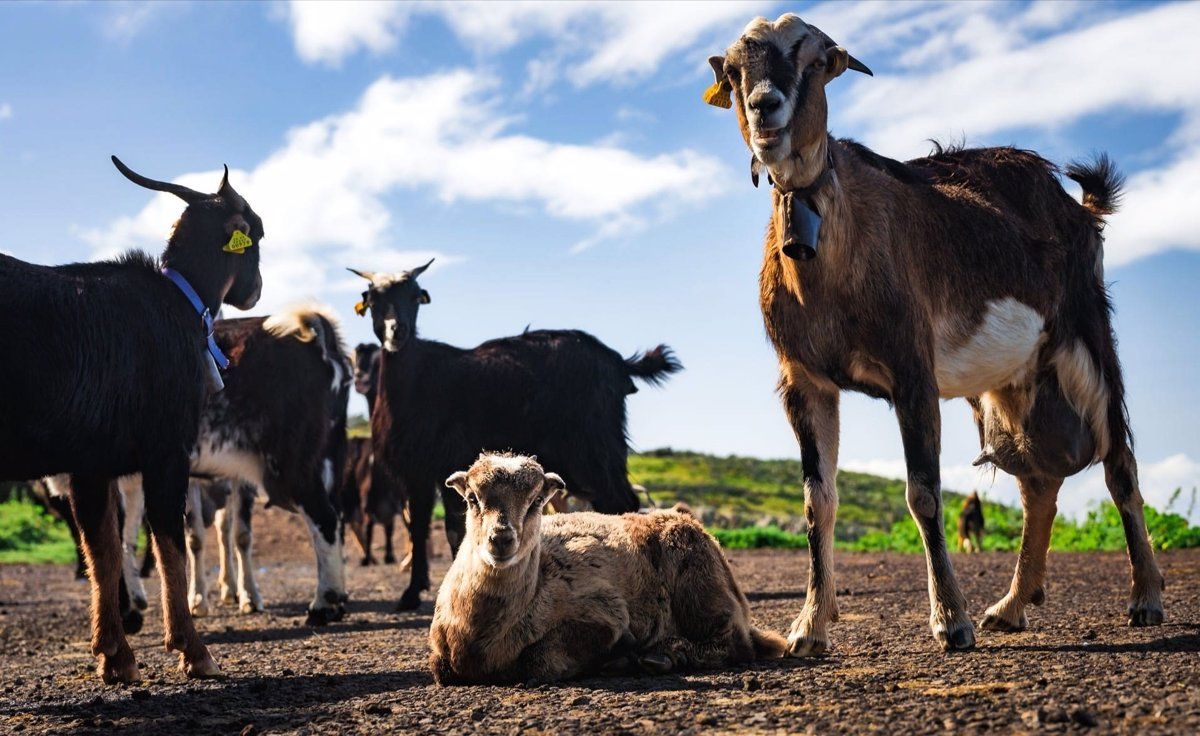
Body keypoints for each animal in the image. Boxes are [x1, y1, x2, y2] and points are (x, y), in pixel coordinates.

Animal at [0, 157, 262, 683]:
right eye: (258, 232)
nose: (256, 290)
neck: (179, 299)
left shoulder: (90, 463)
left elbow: (101, 547)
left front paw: (114, 654)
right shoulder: (167, 450)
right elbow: (168, 541)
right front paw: (193, 651)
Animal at [350, 261, 683, 611]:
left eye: (415, 297)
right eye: (373, 298)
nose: (396, 331)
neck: (414, 377)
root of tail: (618, 362)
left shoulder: (449, 459)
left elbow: (455, 529)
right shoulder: (417, 471)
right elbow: (419, 527)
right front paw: (412, 592)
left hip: (594, 447)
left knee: (621, 501)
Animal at [429, 453, 785, 684]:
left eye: (535, 502)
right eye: (472, 498)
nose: (501, 539)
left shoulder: (601, 613)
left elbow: (538, 661)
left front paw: (619, 653)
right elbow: (438, 668)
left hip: (700, 585)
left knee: (736, 642)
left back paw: (665, 655)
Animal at [705, 13, 1163, 654]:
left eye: (816, 61)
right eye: (733, 69)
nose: (765, 105)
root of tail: (1079, 207)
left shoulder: (912, 371)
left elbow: (923, 491)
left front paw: (950, 620)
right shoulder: (804, 380)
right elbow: (818, 501)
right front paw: (809, 628)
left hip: (1086, 335)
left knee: (1119, 463)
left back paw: (1145, 598)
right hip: (1011, 382)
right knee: (1038, 485)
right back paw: (1011, 605)